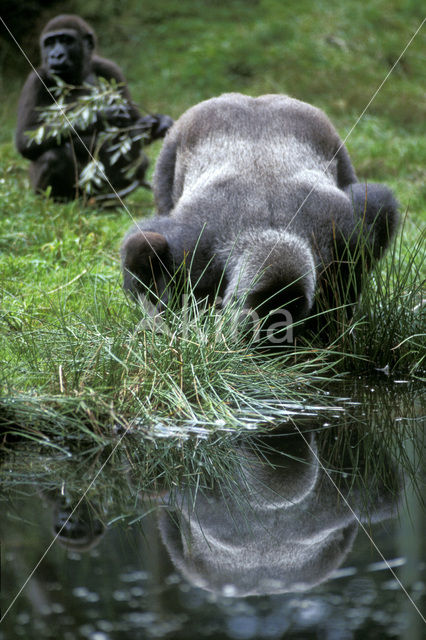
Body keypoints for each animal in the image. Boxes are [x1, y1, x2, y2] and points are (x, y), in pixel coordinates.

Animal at [16, 14, 173, 200]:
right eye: (50, 43)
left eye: (66, 40)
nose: (56, 55)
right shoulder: (34, 81)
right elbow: (25, 139)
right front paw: (102, 115)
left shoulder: (110, 69)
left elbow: (133, 122)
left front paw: (156, 124)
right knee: (53, 156)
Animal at [120, 92, 400, 340]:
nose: (269, 350)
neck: (269, 231)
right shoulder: (193, 251)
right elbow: (143, 247)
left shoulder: (345, 240)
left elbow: (379, 211)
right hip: (171, 147)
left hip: (337, 148)